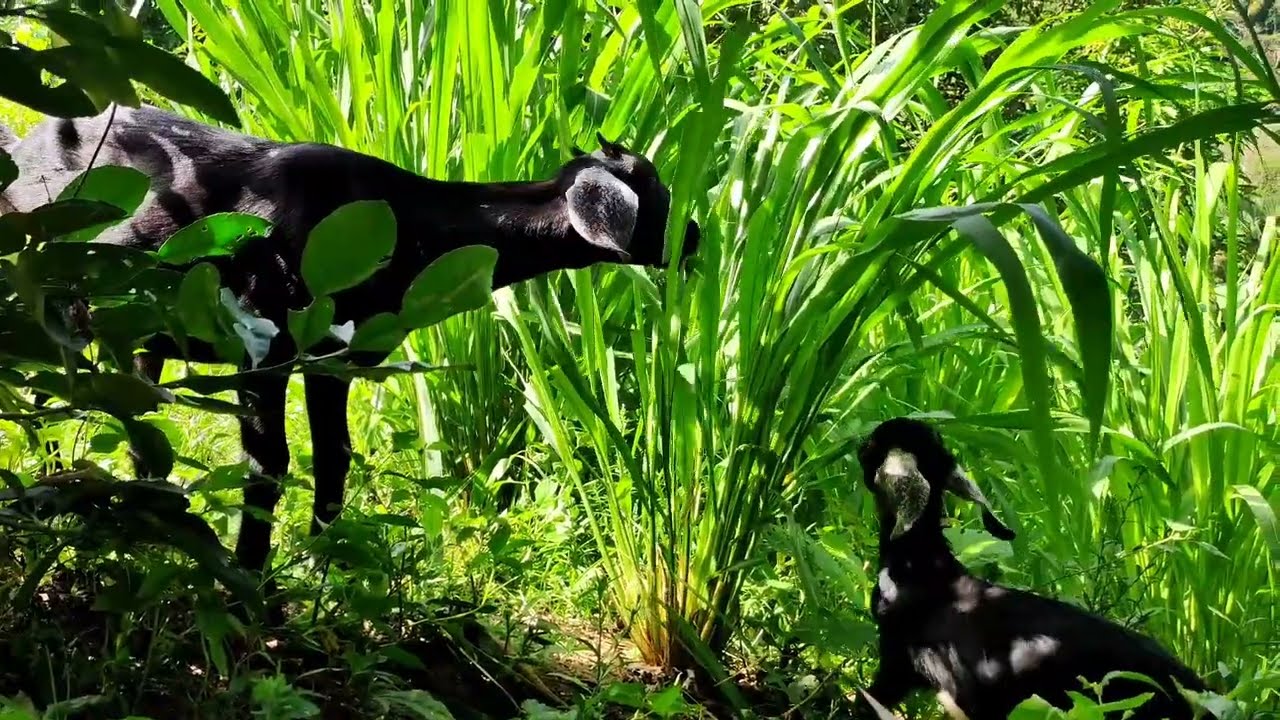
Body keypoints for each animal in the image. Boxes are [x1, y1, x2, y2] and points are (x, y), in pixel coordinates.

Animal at [1, 104, 699, 590]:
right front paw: (247, 581)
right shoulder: (262, 342)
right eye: (658, 197)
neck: (404, 226)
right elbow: (269, 461)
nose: (694, 234)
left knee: (134, 413)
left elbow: (335, 455)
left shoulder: (333, 359)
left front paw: (322, 568)